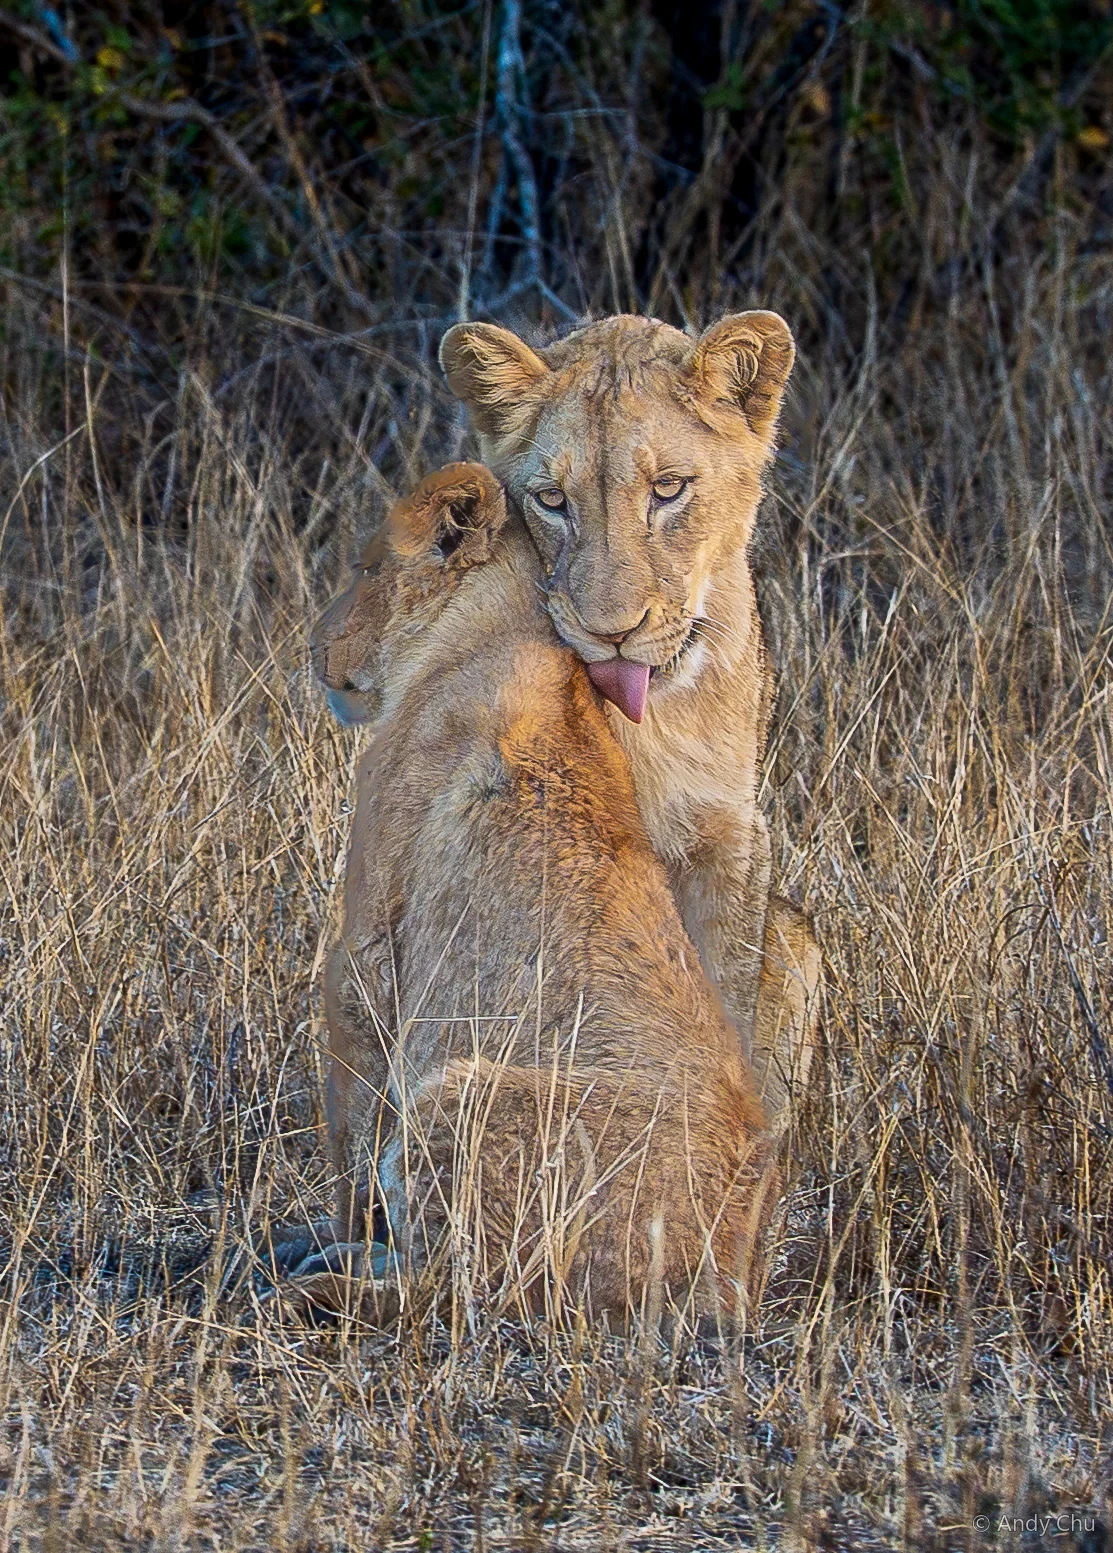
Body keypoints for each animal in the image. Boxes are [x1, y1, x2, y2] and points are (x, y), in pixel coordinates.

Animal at [294, 464, 779, 1323]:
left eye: (366, 567)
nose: (316, 648)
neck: (505, 618)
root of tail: (726, 1268)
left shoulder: (363, 942)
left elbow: (350, 1120)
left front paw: (342, 1220)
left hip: (460, 1093)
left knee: (448, 1290)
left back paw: (317, 1281)